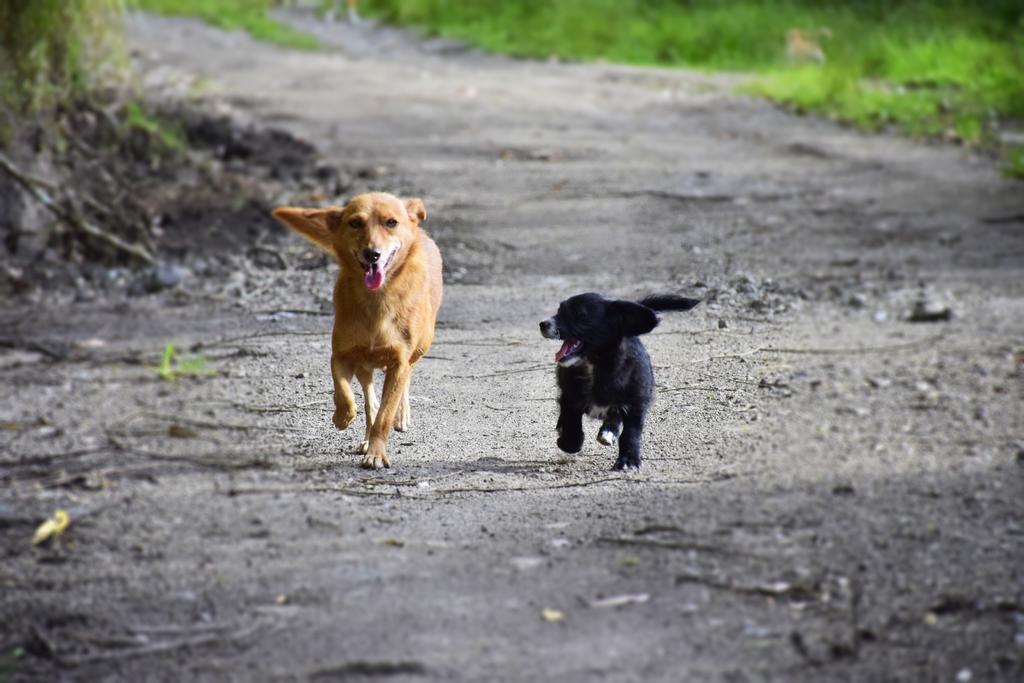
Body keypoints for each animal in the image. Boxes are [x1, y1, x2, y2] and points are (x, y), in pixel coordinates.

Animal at [272, 192, 444, 471]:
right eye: (355, 223)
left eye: (391, 222)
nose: (372, 254)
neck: (377, 300)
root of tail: (422, 232)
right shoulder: (341, 355)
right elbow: (344, 393)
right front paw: (342, 418)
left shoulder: (399, 363)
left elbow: (385, 414)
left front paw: (376, 454)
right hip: (365, 364)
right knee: (368, 397)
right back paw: (364, 431)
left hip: (421, 346)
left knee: (405, 380)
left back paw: (401, 416)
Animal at [540, 290, 700, 473]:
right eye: (559, 310)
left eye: (580, 315)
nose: (543, 324)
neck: (595, 367)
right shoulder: (569, 397)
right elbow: (571, 422)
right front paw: (568, 441)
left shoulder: (637, 404)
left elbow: (631, 433)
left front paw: (628, 460)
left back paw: (608, 432)